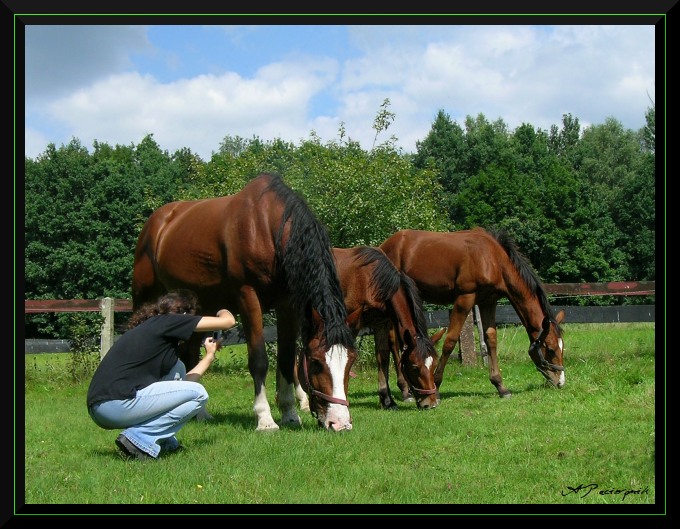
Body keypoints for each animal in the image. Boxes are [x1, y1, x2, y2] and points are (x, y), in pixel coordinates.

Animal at [129, 172, 358, 428]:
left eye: (351, 361)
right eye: (316, 362)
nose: (340, 423)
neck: (268, 229)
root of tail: (157, 222)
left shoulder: (287, 304)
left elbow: (286, 359)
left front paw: (289, 414)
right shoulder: (248, 296)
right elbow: (259, 359)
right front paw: (265, 419)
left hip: (199, 308)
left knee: (190, 354)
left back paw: (200, 414)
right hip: (145, 296)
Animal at [380, 227, 564, 396]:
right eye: (551, 349)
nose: (560, 381)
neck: (493, 259)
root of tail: (385, 246)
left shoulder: (488, 301)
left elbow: (491, 338)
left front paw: (500, 385)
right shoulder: (465, 298)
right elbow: (450, 341)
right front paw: (437, 384)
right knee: (393, 342)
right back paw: (405, 390)